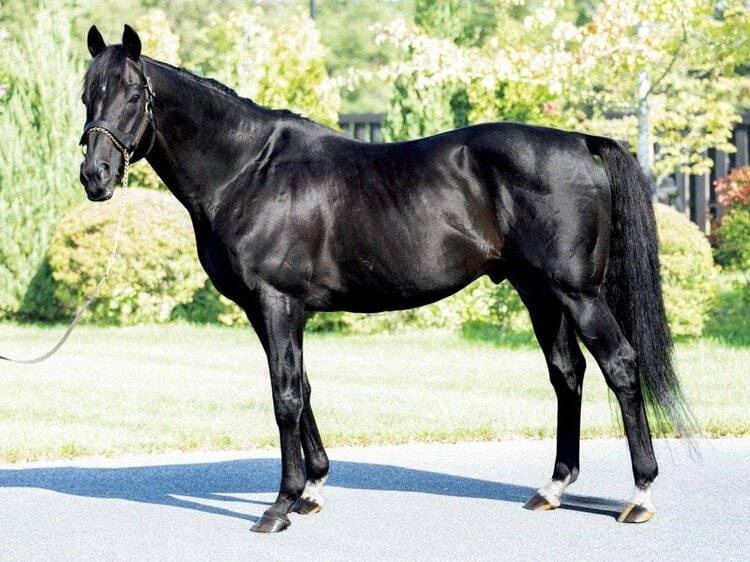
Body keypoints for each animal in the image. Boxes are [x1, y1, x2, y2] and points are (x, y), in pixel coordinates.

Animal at [79, 25, 695, 533]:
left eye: (132, 94)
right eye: (86, 95)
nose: (94, 176)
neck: (249, 170)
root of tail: (579, 140)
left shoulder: (277, 303)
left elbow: (284, 396)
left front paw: (280, 506)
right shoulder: (269, 310)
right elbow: (302, 387)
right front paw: (313, 488)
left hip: (577, 293)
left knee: (621, 365)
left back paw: (639, 494)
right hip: (539, 292)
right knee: (567, 375)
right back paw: (553, 487)